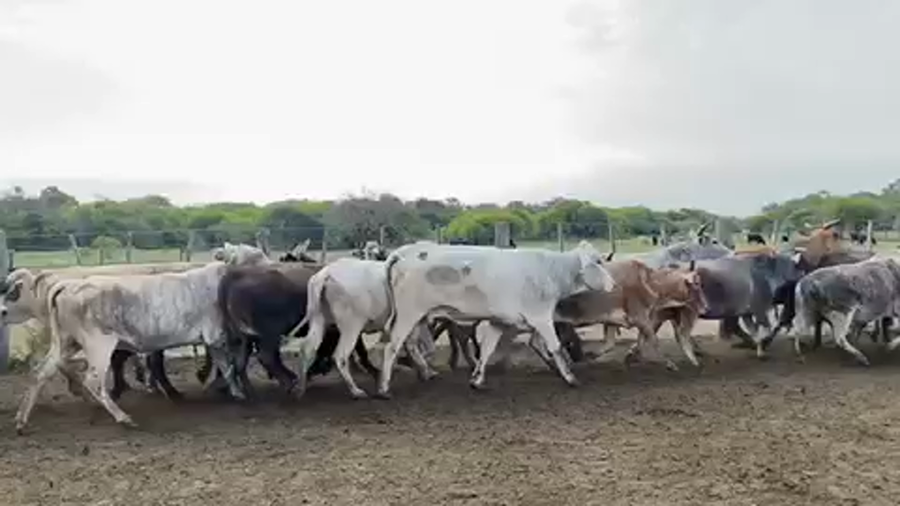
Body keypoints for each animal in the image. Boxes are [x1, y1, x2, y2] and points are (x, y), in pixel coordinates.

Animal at [10, 262, 246, 432]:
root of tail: (68, 285)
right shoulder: (217, 337)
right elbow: (229, 366)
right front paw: (237, 392)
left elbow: (228, 366)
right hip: (98, 345)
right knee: (93, 381)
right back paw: (123, 418)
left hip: (67, 343)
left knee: (41, 372)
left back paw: (21, 420)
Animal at [376, 240, 616, 397]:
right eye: (598, 261)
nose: (614, 284)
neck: (550, 271)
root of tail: (402, 254)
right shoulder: (541, 317)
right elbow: (555, 347)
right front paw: (571, 378)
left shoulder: (499, 322)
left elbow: (487, 350)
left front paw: (477, 380)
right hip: (409, 314)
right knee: (392, 347)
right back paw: (384, 388)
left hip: (419, 318)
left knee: (410, 345)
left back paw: (426, 372)